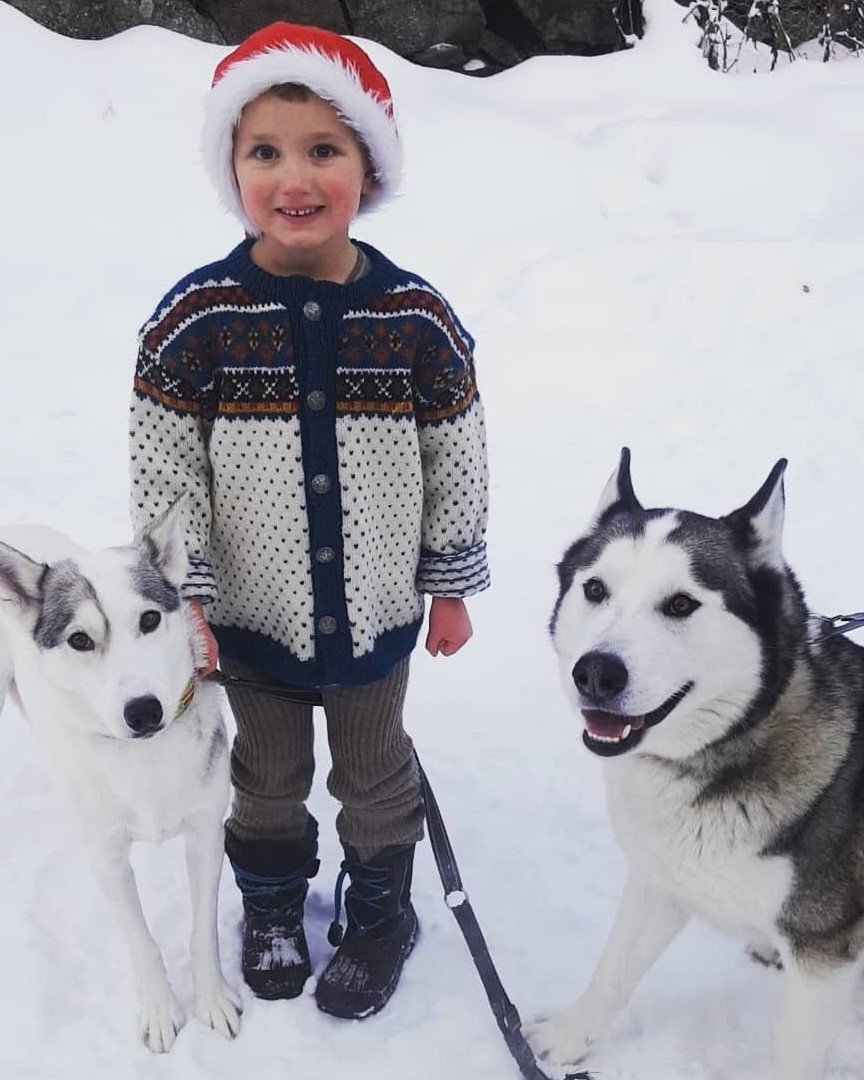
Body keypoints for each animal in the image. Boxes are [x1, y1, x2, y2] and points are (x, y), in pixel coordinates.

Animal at [0, 503, 241, 1052]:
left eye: (150, 619)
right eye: (80, 640)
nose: (144, 710)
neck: (142, 757)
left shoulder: (205, 832)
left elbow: (203, 933)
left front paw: (212, 1000)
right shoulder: (107, 859)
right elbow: (142, 942)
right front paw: (161, 1011)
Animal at [527, 449, 864, 1080]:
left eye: (681, 604)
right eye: (595, 589)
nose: (596, 673)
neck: (737, 738)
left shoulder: (823, 954)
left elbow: (792, 1056)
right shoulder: (662, 875)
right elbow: (613, 970)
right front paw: (568, 1036)